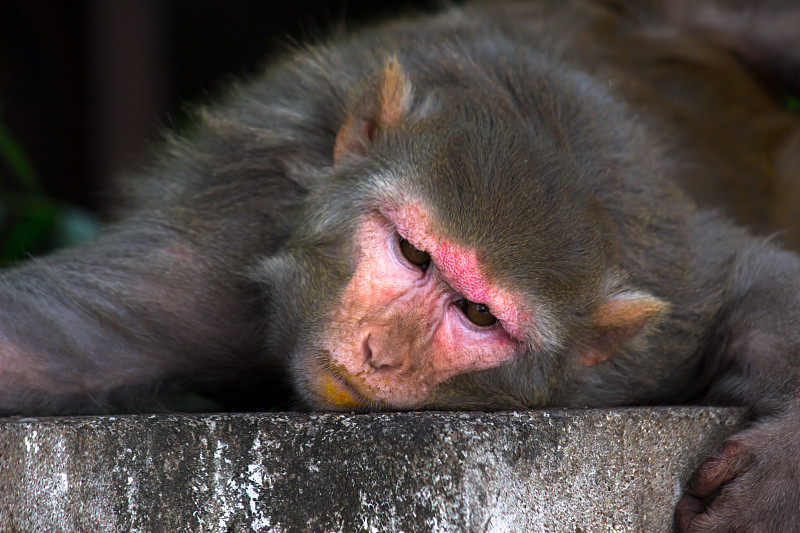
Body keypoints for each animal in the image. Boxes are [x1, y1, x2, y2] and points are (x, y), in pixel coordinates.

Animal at [1, 0, 800, 528]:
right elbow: (40, 348)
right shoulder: (225, 245)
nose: (380, 351)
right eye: (413, 253)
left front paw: (777, 474)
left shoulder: (656, 324)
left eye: (478, 313)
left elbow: (754, 282)